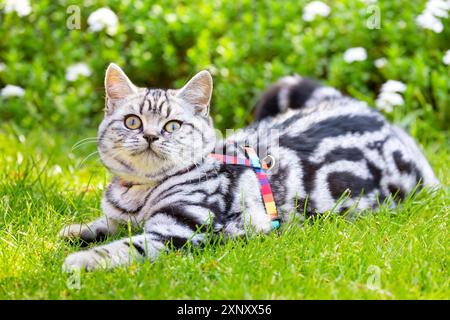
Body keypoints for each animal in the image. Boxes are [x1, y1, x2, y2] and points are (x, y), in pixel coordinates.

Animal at [59, 63, 436, 272]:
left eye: (172, 126)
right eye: (133, 121)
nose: (151, 136)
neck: (138, 194)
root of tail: (366, 109)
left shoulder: (178, 231)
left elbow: (125, 246)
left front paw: (82, 260)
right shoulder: (123, 218)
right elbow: (104, 225)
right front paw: (75, 231)